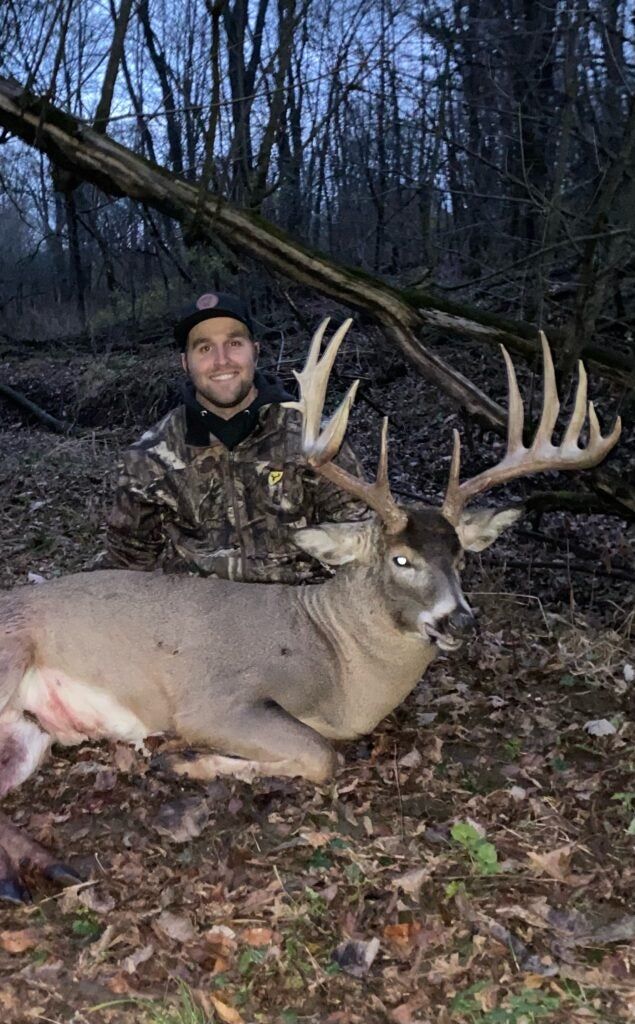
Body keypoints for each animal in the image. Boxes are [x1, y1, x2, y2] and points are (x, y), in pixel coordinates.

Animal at [0, 319, 621, 903]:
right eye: (400, 558)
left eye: (462, 556)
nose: (459, 620)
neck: (336, 667)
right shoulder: (213, 699)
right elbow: (322, 756)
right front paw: (183, 760)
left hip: (30, 736)